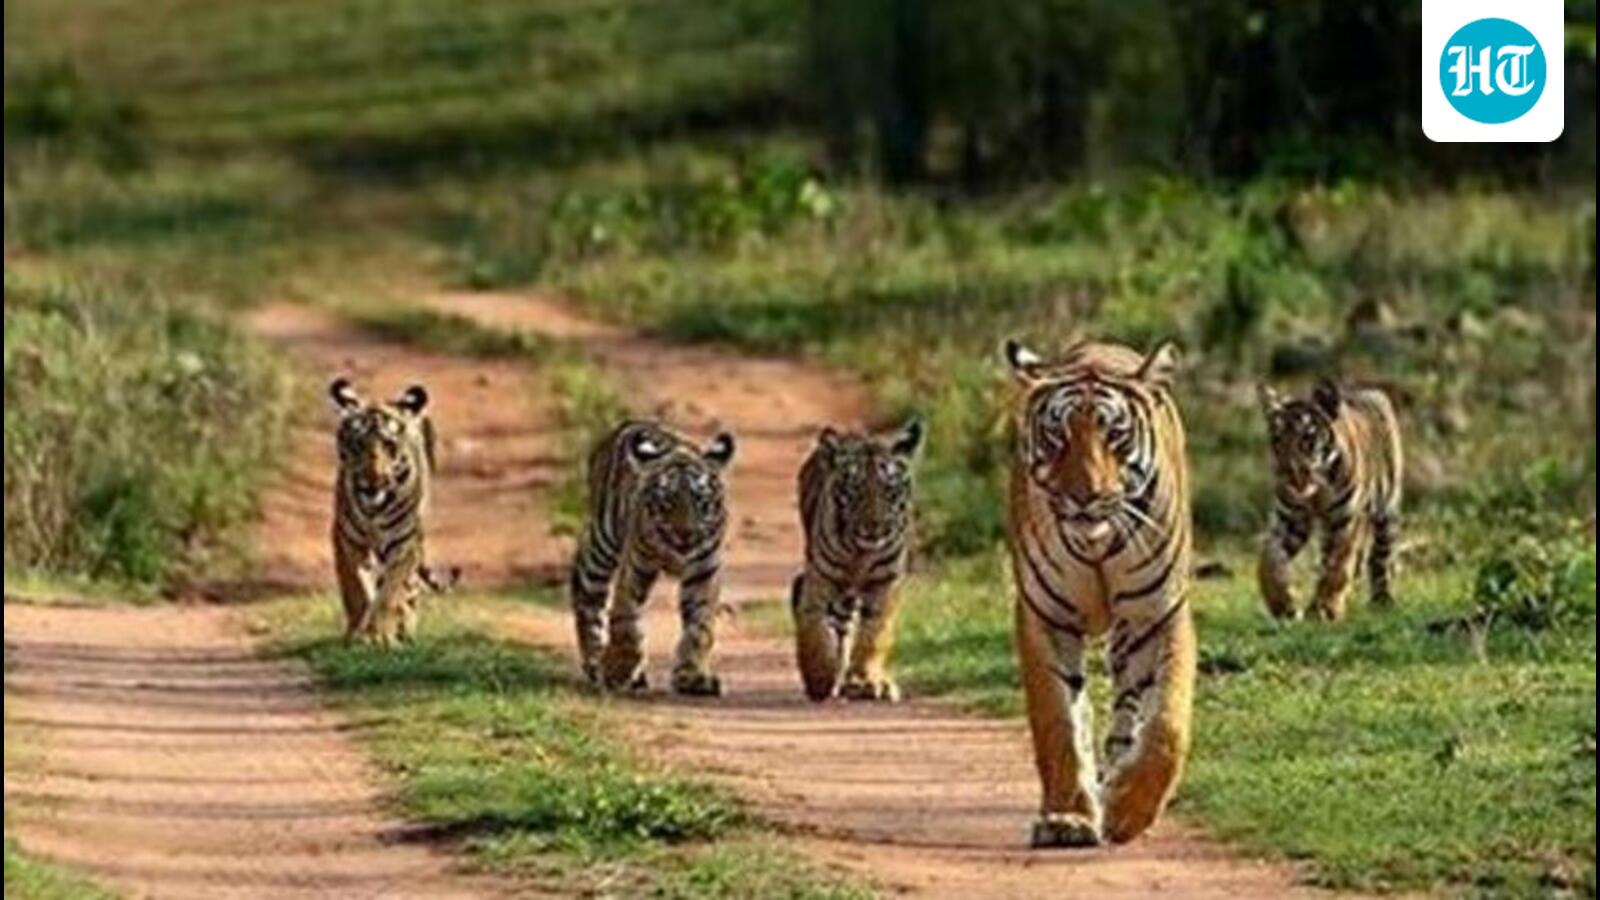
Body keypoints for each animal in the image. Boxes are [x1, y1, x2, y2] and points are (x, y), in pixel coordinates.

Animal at [329, 377, 457, 647]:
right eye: (357, 444)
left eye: (389, 445)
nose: (372, 482)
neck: (374, 508)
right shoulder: (347, 539)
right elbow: (356, 586)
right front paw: (357, 632)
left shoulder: (404, 542)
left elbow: (390, 591)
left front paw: (378, 635)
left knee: (409, 589)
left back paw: (404, 628)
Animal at [568, 420, 736, 696]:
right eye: (667, 502)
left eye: (700, 500)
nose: (685, 534)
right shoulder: (635, 567)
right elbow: (625, 620)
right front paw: (618, 671)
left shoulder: (703, 572)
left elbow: (700, 627)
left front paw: (692, 676)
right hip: (601, 548)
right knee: (589, 600)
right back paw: (596, 664)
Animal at [791, 419, 924, 703]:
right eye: (855, 490)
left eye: (889, 490)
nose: (874, 528)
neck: (861, 554)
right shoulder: (821, 579)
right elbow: (814, 628)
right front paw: (820, 679)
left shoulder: (886, 583)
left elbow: (874, 632)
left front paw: (866, 681)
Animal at [1002, 337, 1196, 848]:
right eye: (1058, 435)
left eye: (1115, 436)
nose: (1084, 496)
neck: (1097, 545)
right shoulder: (1045, 616)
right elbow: (1058, 722)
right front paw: (1067, 818)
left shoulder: (1159, 614)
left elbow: (1167, 723)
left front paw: (1129, 810)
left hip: (1130, 636)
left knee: (1129, 713)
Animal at [1257, 379, 1402, 622]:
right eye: (1277, 440)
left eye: (1307, 438)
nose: (1289, 472)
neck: (1317, 493)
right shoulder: (1290, 520)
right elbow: (1269, 559)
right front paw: (1282, 606)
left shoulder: (1346, 520)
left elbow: (1338, 565)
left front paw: (1326, 608)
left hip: (1387, 510)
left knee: (1380, 557)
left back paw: (1382, 600)